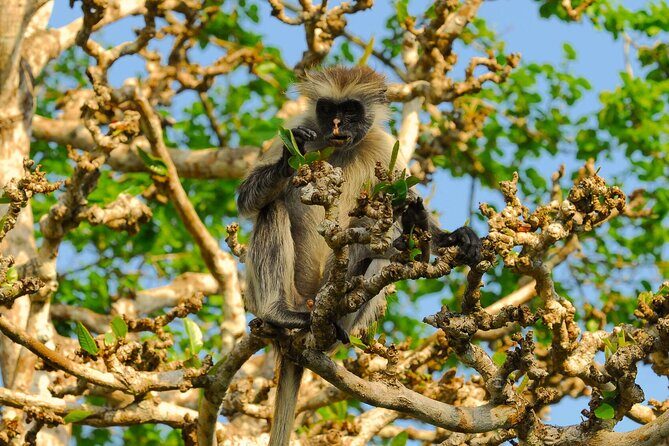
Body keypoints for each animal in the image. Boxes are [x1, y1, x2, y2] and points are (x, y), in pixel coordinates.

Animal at [236, 66, 481, 446]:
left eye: (350, 110)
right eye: (327, 109)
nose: (337, 123)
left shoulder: (382, 144)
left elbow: (399, 203)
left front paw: (450, 235)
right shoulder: (298, 123)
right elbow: (247, 199)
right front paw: (289, 159)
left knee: (378, 230)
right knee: (271, 208)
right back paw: (281, 315)